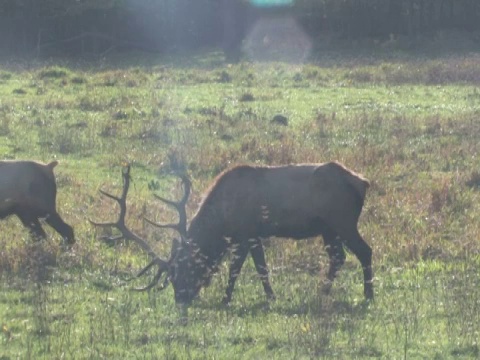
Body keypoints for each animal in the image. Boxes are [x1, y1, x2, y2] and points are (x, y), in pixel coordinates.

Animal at [92, 162, 374, 306]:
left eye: (182, 272)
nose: (181, 300)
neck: (223, 219)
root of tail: (363, 182)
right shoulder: (254, 234)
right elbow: (260, 267)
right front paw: (270, 297)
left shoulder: (245, 232)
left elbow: (237, 267)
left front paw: (226, 299)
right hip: (328, 229)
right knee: (338, 257)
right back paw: (323, 293)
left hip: (343, 221)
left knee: (365, 251)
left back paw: (368, 295)